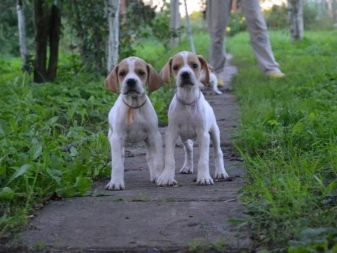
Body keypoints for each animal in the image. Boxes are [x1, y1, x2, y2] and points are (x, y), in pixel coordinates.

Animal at [105, 55, 163, 190]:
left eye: (141, 73)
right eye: (122, 73)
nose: (131, 81)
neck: (134, 106)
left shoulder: (154, 136)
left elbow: (157, 160)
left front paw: (159, 177)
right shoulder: (117, 138)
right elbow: (117, 163)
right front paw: (116, 182)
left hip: (148, 141)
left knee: (150, 157)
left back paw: (154, 176)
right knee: (120, 159)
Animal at [156, 51, 227, 186]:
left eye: (194, 65)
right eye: (175, 67)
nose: (185, 74)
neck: (188, 101)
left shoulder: (204, 135)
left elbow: (203, 160)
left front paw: (204, 177)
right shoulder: (171, 133)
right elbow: (169, 158)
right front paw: (166, 177)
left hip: (214, 132)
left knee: (218, 152)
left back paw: (221, 172)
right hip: (183, 138)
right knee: (189, 150)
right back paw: (187, 167)